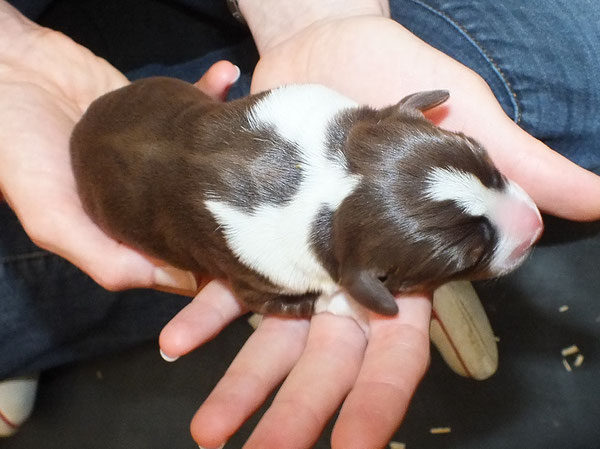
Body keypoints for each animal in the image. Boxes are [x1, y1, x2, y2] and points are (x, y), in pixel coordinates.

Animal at [70, 75, 544, 316]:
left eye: (490, 166)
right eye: (468, 260)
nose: (537, 226)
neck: (327, 183)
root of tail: (77, 134)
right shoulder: (255, 274)